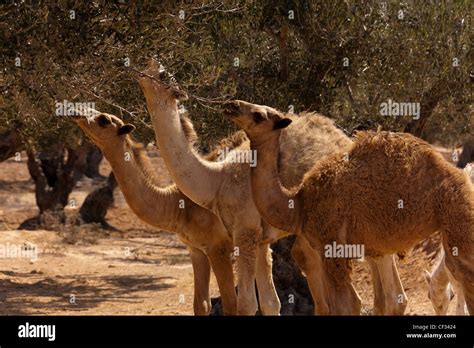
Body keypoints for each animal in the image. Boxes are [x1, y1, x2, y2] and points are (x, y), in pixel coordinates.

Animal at [73, 112, 241, 316]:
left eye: (104, 119)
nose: (77, 114)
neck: (178, 204)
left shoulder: (219, 248)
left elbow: (231, 304)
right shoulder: (196, 249)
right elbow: (201, 304)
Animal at [137, 60, 412, 316]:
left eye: (163, 74)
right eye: (149, 70)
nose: (142, 74)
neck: (216, 178)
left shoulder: (245, 232)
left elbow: (246, 304)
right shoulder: (259, 239)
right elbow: (269, 303)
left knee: (388, 294)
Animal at [225, 99, 474, 314]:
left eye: (259, 115)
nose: (232, 104)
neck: (298, 204)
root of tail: (458, 174)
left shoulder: (334, 248)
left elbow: (346, 305)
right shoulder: (326, 251)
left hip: (456, 217)